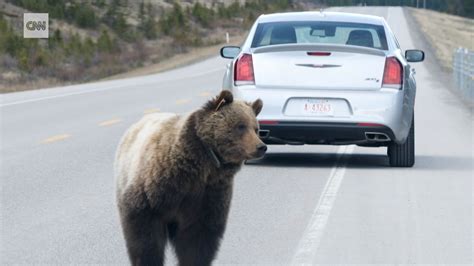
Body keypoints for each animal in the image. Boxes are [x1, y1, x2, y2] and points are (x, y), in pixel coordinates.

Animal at [113, 90, 264, 264]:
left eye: (256, 128)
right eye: (241, 126)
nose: (261, 146)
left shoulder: (208, 196)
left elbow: (197, 240)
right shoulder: (153, 189)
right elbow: (145, 236)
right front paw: (148, 259)